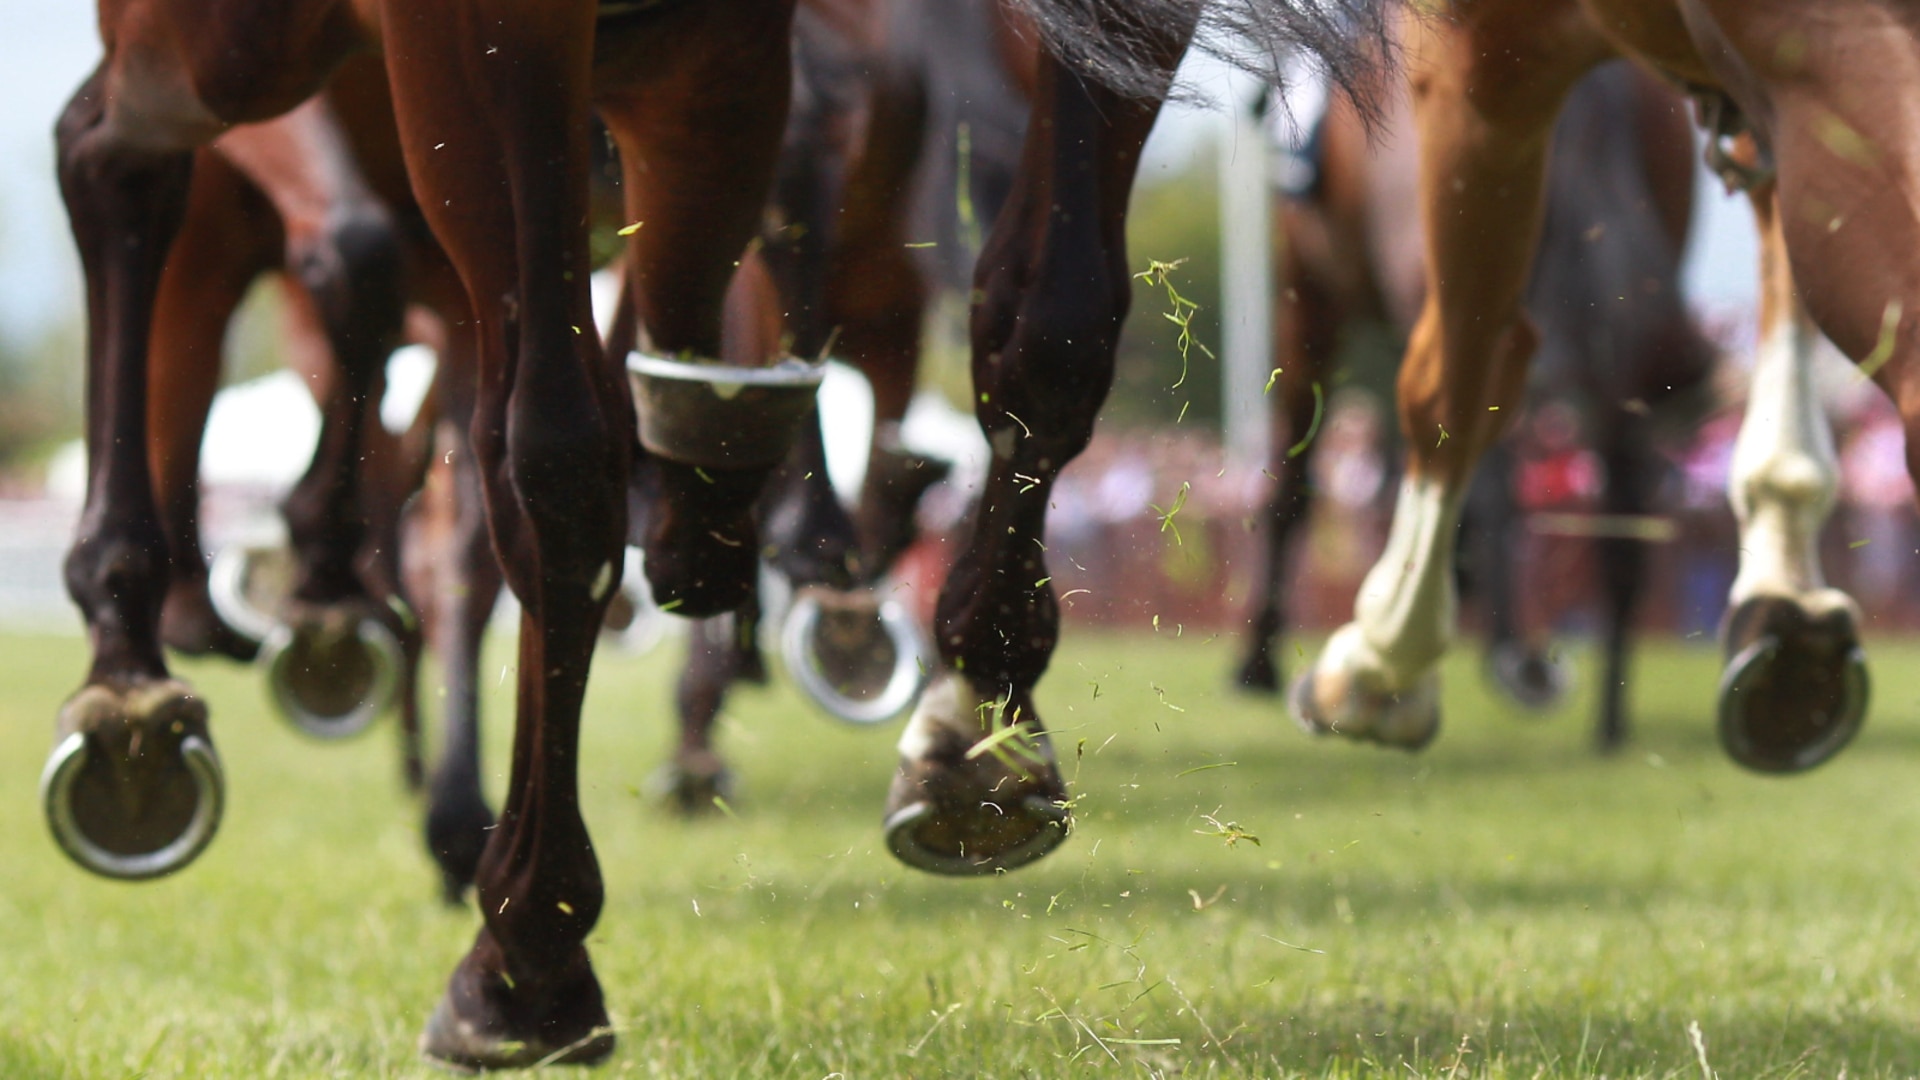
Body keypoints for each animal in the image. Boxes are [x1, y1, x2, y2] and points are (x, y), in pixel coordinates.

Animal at [48, 0, 1397, 1060]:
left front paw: (975, 725)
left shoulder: (755, 69)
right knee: (117, 154)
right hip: (260, 57)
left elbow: (1046, 323)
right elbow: (552, 454)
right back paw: (144, 664)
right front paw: (526, 958)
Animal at [1236, 58, 1720, 749]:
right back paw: (1608, 721)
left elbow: (1292, 480)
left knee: (1475, 461)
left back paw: (1502, 656)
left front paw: (1257, 663)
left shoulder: (1308, 293)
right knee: (1622, 510)